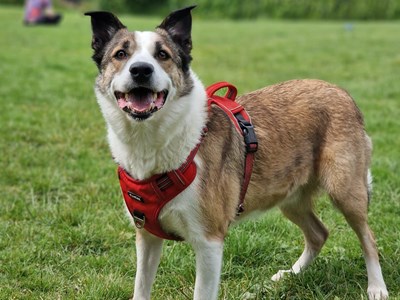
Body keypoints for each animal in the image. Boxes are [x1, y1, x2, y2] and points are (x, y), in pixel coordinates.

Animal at [84, 5, 388, 300]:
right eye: (121, 54)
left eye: (162, 55)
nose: (141, 70)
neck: (153, 141)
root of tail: (341, 92)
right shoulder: (146, 236)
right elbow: (141, 288)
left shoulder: (209, 242)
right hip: (290, 196)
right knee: (319, 234)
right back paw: (291, 274)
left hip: (345, 190)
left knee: (368, 239)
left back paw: (376, 287)